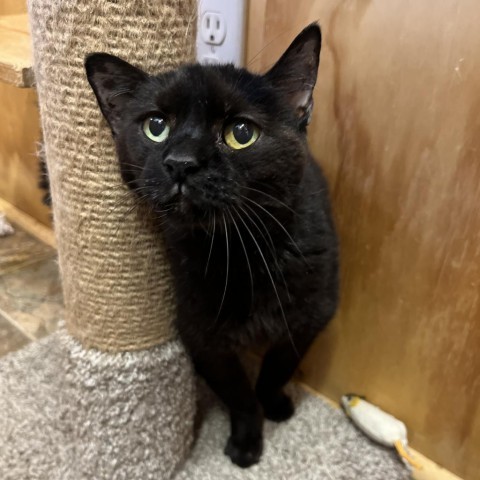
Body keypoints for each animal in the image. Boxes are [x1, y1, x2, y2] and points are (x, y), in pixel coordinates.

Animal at [87, 23, 338, 468]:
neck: (239, 250)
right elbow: (237, 393)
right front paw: (247, 440)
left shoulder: (311, 314)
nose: (181, 162)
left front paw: (275, 404)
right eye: (156, 126)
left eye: (241, 133)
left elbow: (277, 368)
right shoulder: (201, 334)